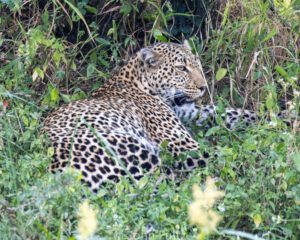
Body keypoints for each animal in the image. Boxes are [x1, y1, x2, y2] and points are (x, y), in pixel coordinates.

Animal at [43, 40, 210, 191]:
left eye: (197, 64)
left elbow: (211, 111)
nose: (204, 87)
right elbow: (215, 154)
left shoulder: (187, 111)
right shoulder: (184, 146)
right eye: (181, 68)